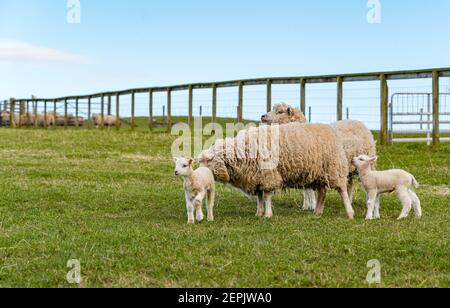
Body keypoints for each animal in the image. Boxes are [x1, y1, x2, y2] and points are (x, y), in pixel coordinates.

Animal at [200, 121, 356, 220]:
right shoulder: (257, 177)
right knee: (322, 192)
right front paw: (259, 213)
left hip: (334, 168)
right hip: (318, 174)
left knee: (342, 190)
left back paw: (349, 213)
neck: (243, 151)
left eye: (209, 162)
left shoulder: (268, 175)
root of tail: (330, 130)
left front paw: (268, 215)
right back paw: (317, 212)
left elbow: (267, 196)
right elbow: (259, 197)